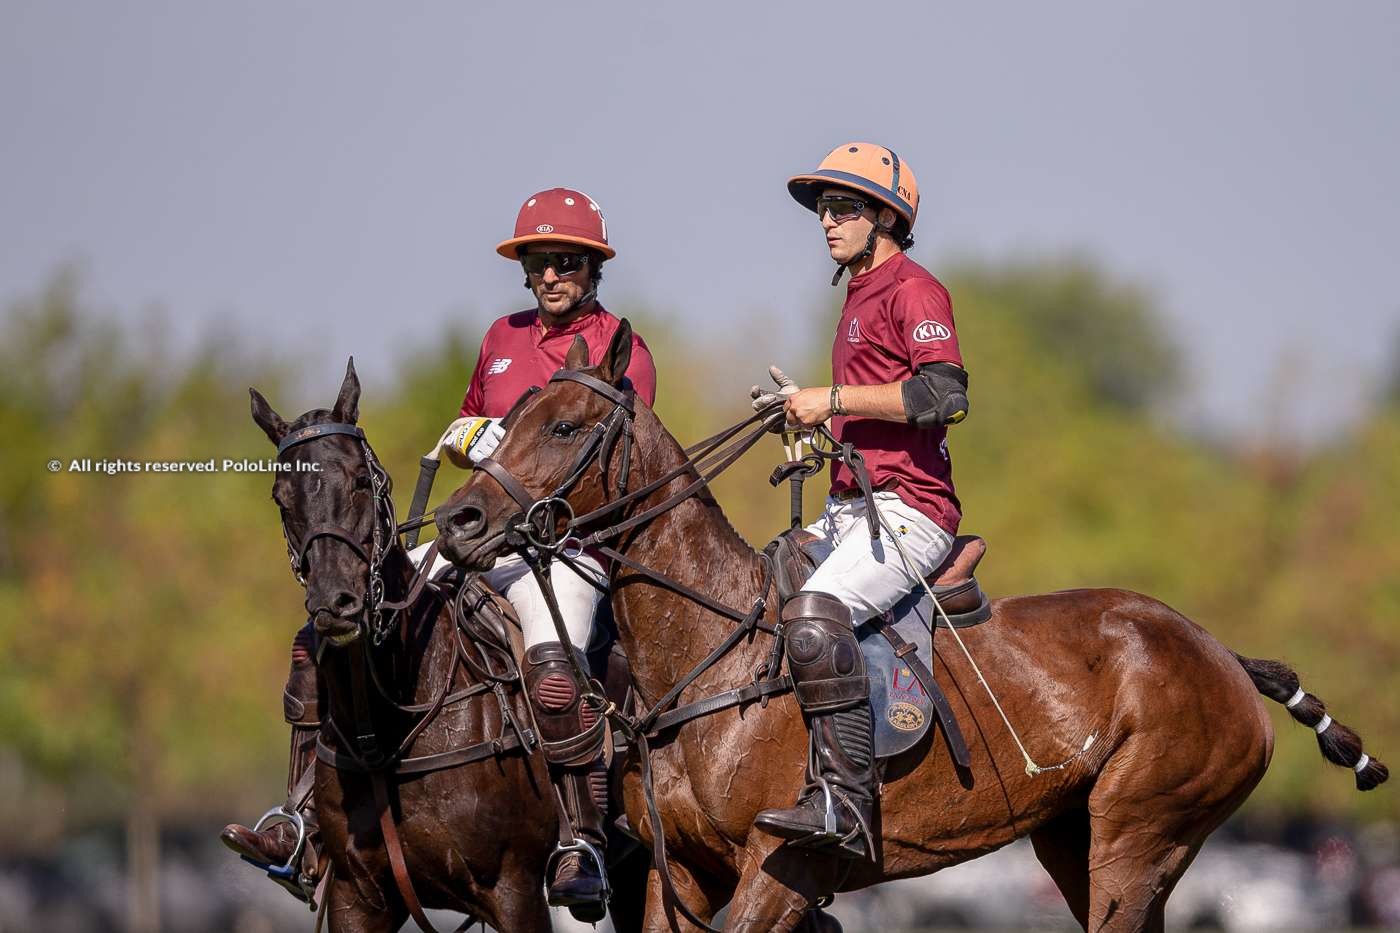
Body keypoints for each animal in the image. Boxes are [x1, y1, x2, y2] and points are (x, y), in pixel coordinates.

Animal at [434, 322, 1388, 930]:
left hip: (1142, 827)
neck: (710, 661)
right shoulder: (683, 882)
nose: (458, 521)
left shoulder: (783, 872)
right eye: (504, 422)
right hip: (1070, 835)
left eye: (565, 426)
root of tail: (1223, 652)